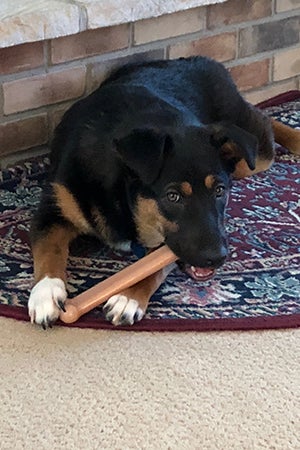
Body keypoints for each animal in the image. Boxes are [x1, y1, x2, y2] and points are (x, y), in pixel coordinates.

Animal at [28, 58, 300, 328]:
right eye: (173, 196)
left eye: (220, 190)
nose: (217, 258)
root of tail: (206, 61)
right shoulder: (54, 207)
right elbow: (49, 248)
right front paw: (46, 292)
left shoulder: (167, 242)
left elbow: (151, 268)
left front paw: (129, 298)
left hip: (252, 158)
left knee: (262, 122)